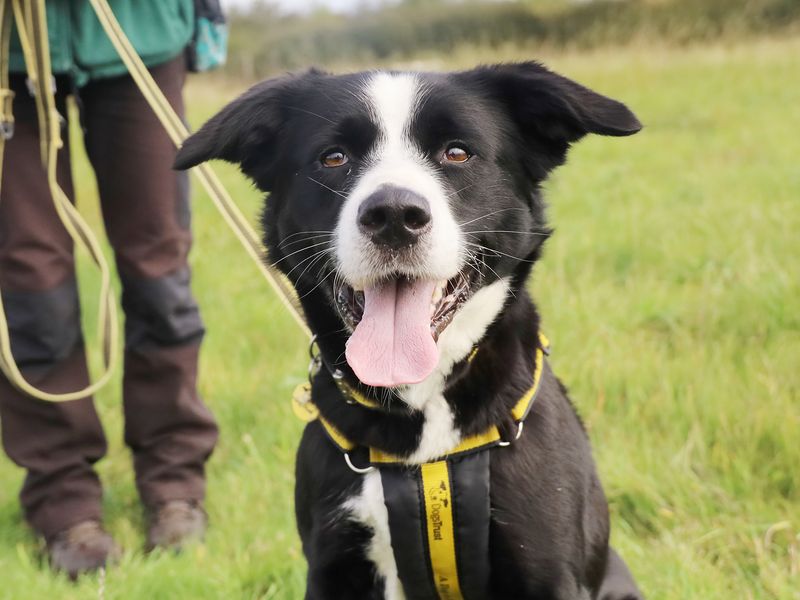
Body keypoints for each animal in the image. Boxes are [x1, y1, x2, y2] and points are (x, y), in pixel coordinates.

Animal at [175, 62, 644, 600]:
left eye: (457, 152)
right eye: (333, 157)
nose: (394, 215)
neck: (420, 424)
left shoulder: (547, 570)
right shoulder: (334, 566)